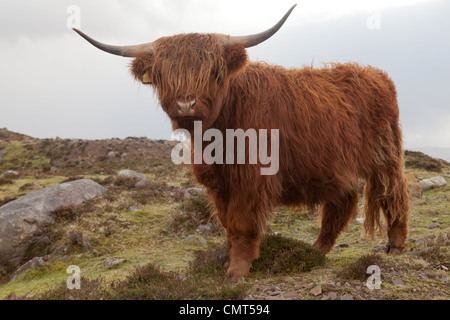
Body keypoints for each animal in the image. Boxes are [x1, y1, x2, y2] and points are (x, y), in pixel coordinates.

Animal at [74, 5, 412, 280]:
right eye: (163, 73)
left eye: (212, 71)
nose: (186, 104)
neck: (217, 137)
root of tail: (374, 74)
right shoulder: (218, 182)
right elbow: (226, 224)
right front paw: (227, 262)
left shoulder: (251, 178)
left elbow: (241, 223)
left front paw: (237, 270)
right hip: (335, 166)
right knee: (341, 202)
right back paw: (316, 249)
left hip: (384, 153)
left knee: (394, 190)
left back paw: (395, 244)